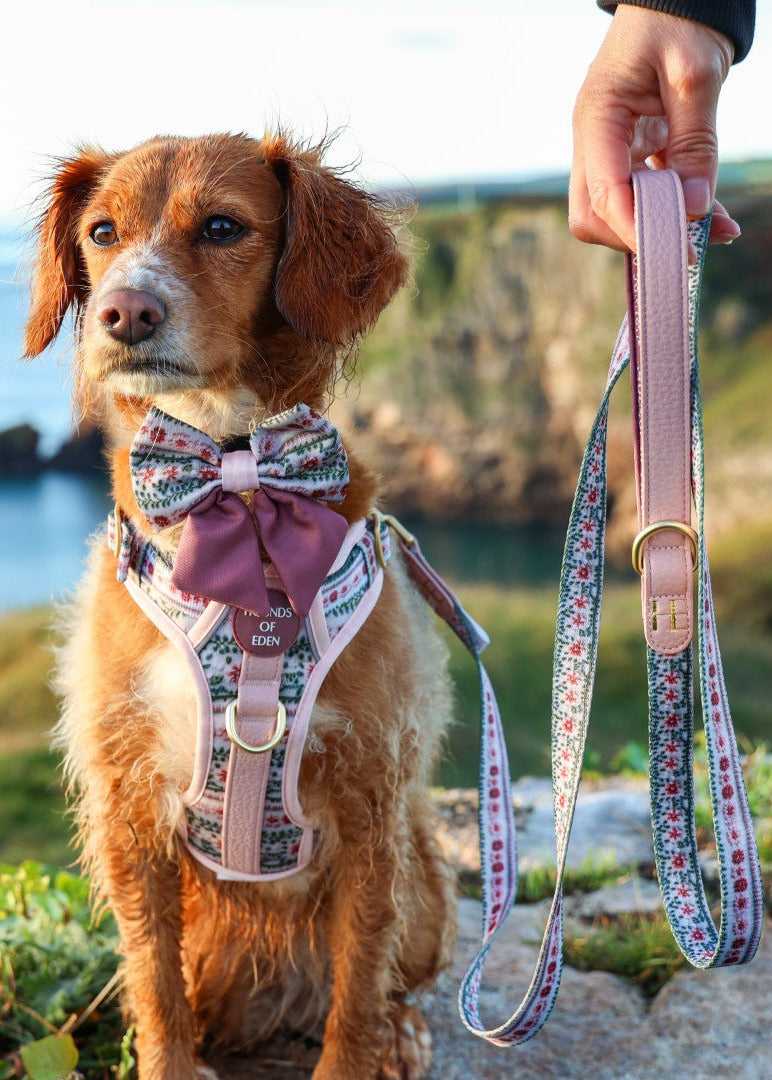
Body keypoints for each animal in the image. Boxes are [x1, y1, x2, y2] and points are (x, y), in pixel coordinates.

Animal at [24, 133, 457, 1080]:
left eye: (223, 227)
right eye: (102, 232)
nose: (124, 312)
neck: (235, 479)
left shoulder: (373, 809)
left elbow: (357, 991)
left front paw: (363, 1049)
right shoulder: (129, 813)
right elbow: (155, 980)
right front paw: (170, 1063)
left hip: (425, 880)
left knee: (390, 980)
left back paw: (403, 1031)